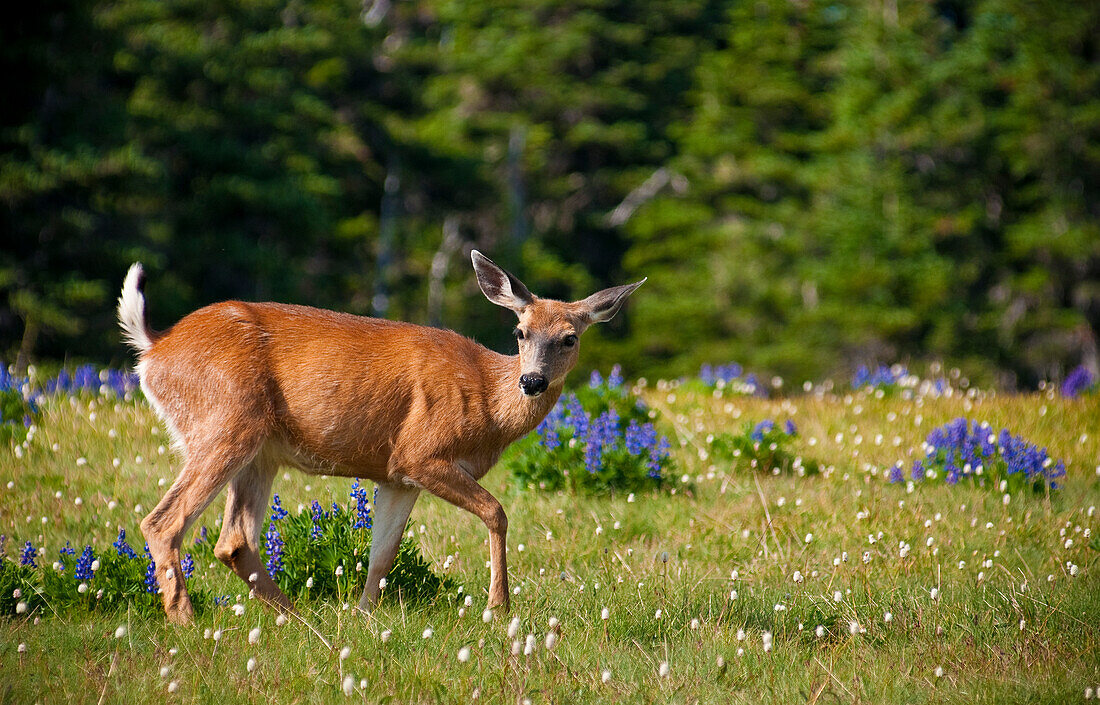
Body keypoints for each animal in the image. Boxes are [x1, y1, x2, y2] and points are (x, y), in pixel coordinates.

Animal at [118, 251, 642, 620]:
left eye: (570, 338)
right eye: (520, 332)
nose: (532, 381)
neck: (487, 405)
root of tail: (153, 349)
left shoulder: (396, 475)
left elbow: (382, 554)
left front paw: (363, 615)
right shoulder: (421, 452)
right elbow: (497, 512)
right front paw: (499, 607)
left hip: (258, 452)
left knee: (234, 540)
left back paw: (299, 619)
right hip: (223, 424)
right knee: (163, 522)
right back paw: (186, 619)